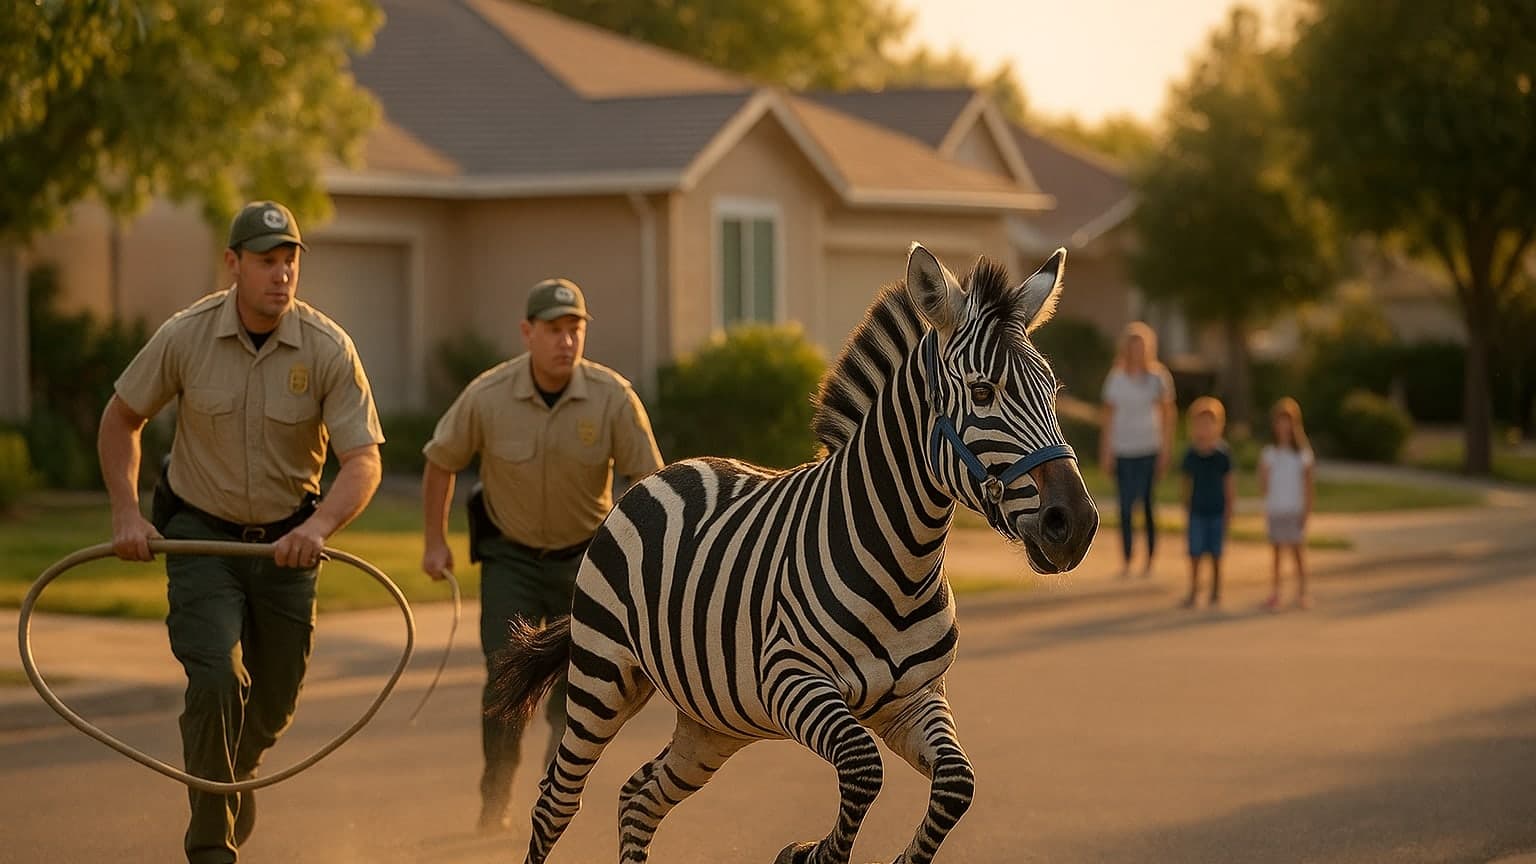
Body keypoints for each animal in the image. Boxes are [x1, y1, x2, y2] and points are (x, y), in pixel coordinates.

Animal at [491, 243, 1099, 863]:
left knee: (640, 796)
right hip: (602, 674)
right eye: (981, 393)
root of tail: (670, 469)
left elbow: (957, 784)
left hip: (714, 719)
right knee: (557, 801)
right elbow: (863, 768)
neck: (902, 562)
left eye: (1052, 391)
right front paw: (807, 853)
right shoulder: (789, 678)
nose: (1076, 525)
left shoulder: (916, 698)